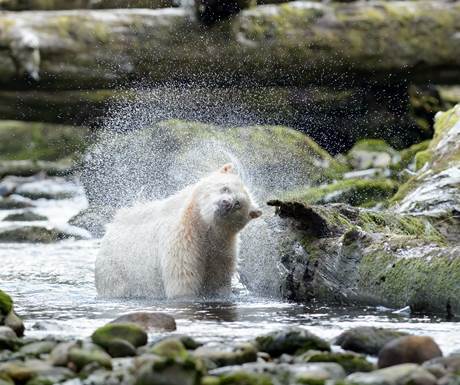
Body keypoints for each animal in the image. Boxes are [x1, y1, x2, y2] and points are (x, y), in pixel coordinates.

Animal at [95, 164, 260, 298]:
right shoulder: (182, 241)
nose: (225, 203)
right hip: (117, 270)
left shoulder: (222, 249)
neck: (202, 226)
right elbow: (182, 281)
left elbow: (218, 280)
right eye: (225, 188)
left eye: (238, 204)